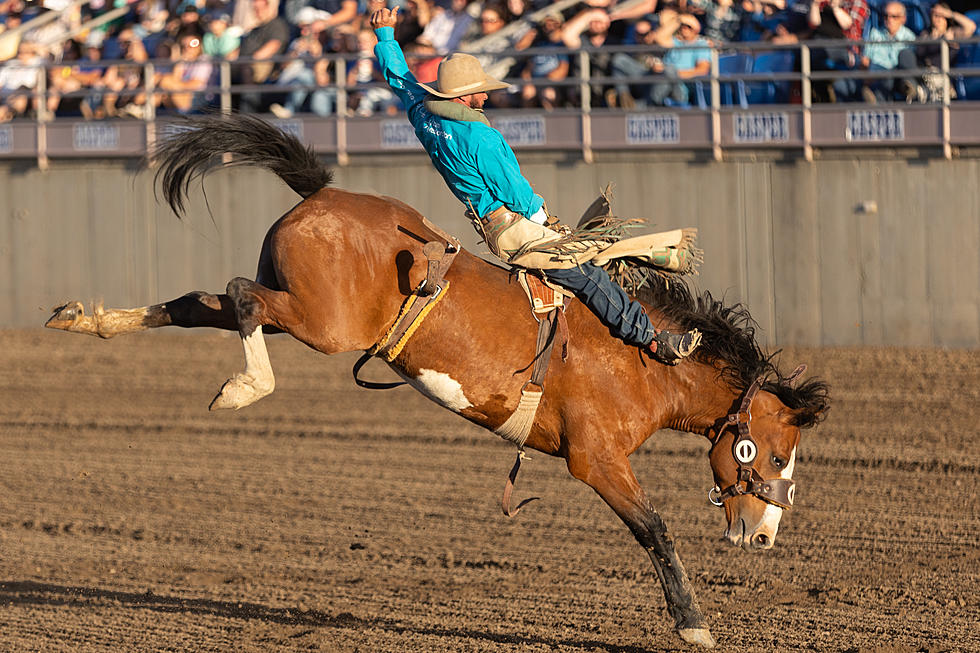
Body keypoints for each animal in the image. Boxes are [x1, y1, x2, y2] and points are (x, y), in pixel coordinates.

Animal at [44, 112, 828, 648]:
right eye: (771, 451)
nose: (764, 537)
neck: (643, 356)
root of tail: (326, 194)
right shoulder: (595, 457)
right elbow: (656, 529)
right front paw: (694, 624)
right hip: (320, 322)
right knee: (240, 295)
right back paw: (244, 387)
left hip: (299, 308)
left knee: (201, 302)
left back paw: (89, 320)